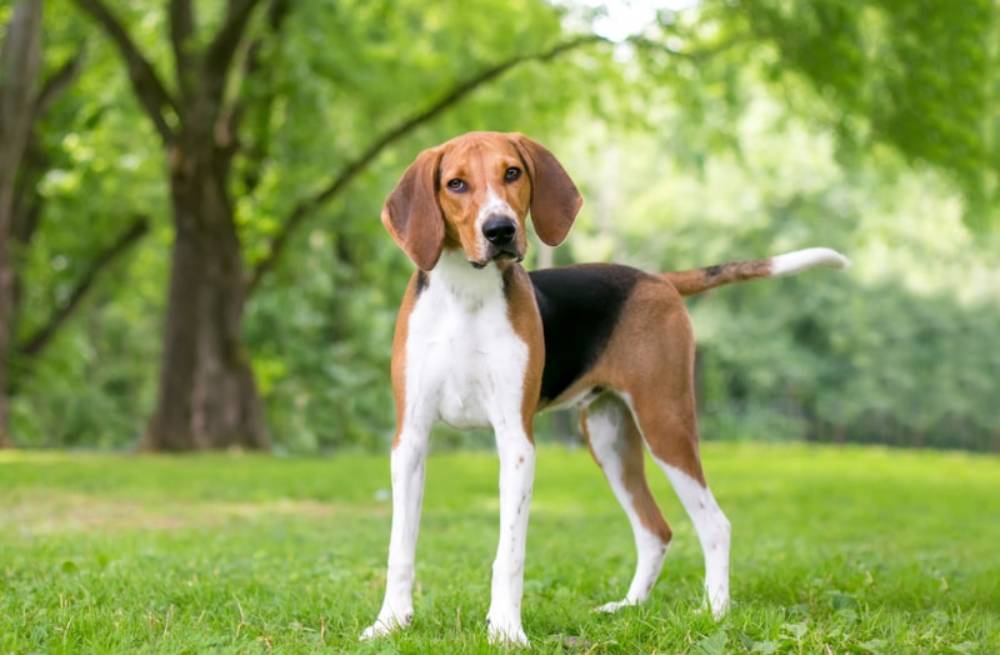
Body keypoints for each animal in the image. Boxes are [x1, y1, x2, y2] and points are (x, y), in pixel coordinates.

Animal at [364, 129, 848, 644]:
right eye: (455, 183)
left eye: (512, 172)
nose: (500, 230)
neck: (464, 296)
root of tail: (656, 279)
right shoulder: (410, 439)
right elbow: (400, 547)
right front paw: (390, 622)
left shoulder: (515, 441)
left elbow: (509, 552)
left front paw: (507, 630)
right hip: (610, 439)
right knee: (655, 530)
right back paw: (629, 608)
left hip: (664, 423)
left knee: (714, 524)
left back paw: (715, 614)